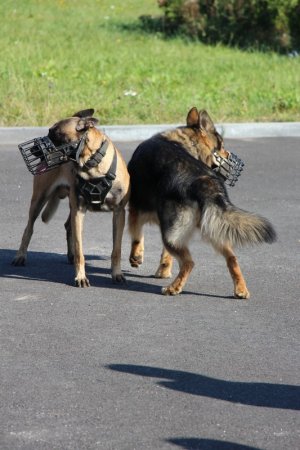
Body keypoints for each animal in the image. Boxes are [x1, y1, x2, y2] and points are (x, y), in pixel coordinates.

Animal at [12, 108, 130, 284]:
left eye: (55, 133)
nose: (33, 150)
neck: (93, 165)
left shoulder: (119, 213)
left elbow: (116, 249)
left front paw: (116, 273)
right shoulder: (79, 211)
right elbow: (80, 249)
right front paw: (80, 276)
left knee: (67, 226)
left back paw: (70, 255)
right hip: (39, 200)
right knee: (29, 228)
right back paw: (20, 256)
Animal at [128, 108, 276, 298]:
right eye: (221, 147)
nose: (229, 154)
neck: (185, 140)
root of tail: (205, 182)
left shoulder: (135, 209)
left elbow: (136, 236)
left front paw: (136, 257)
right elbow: (165, 254)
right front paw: (163, 270)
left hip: (173, 235)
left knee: (189, 263)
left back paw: (174, 288)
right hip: (212, 229)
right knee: (232, 258)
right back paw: (241, 289)